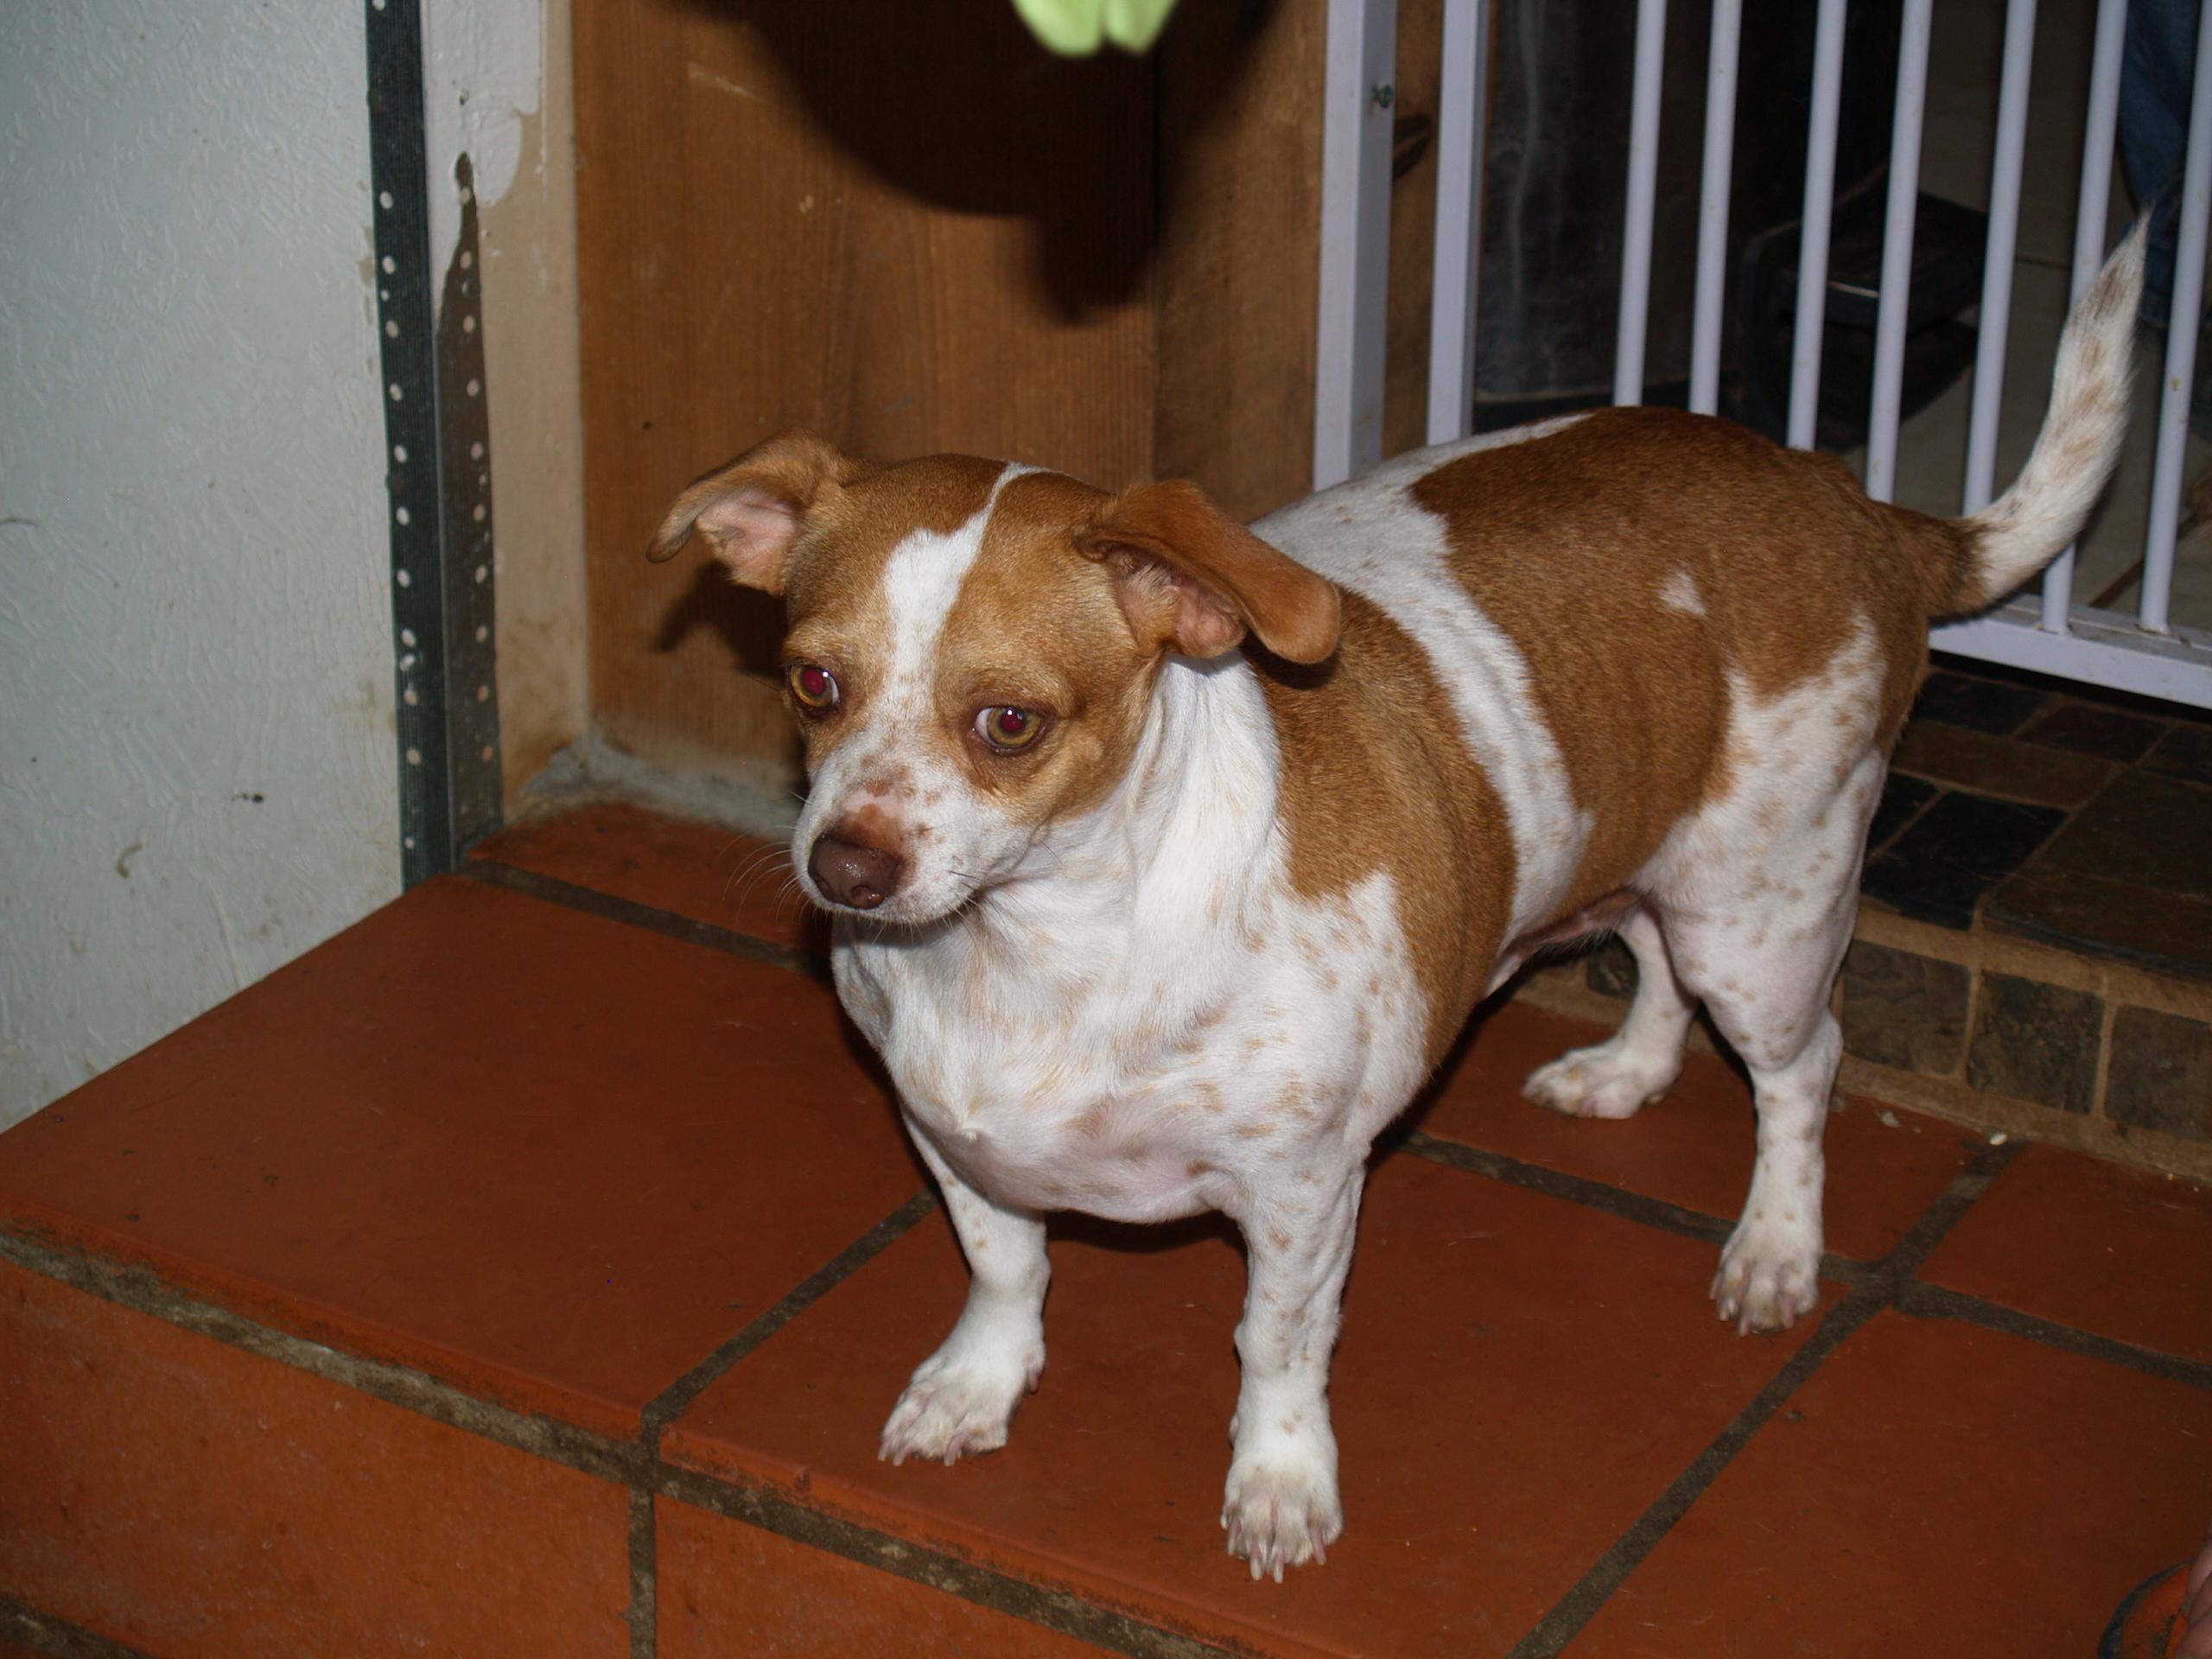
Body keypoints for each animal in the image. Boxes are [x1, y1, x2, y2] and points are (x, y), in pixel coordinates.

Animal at [650, 227, 2141, 1574]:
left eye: (1009, 722)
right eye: (812, 681)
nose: (845, 869)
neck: (1033, 957)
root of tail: (1857, 503)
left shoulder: (1303, 1190)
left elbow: (1277, 1346)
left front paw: (1278, 1486)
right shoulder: (954, 1142)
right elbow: (1006, 1269)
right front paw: (978, 1382)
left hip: (1761, 919)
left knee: (1801, 1072)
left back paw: (1775, 1249)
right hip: (1654, 856)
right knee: (1654, 963)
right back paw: (1627, 1072)